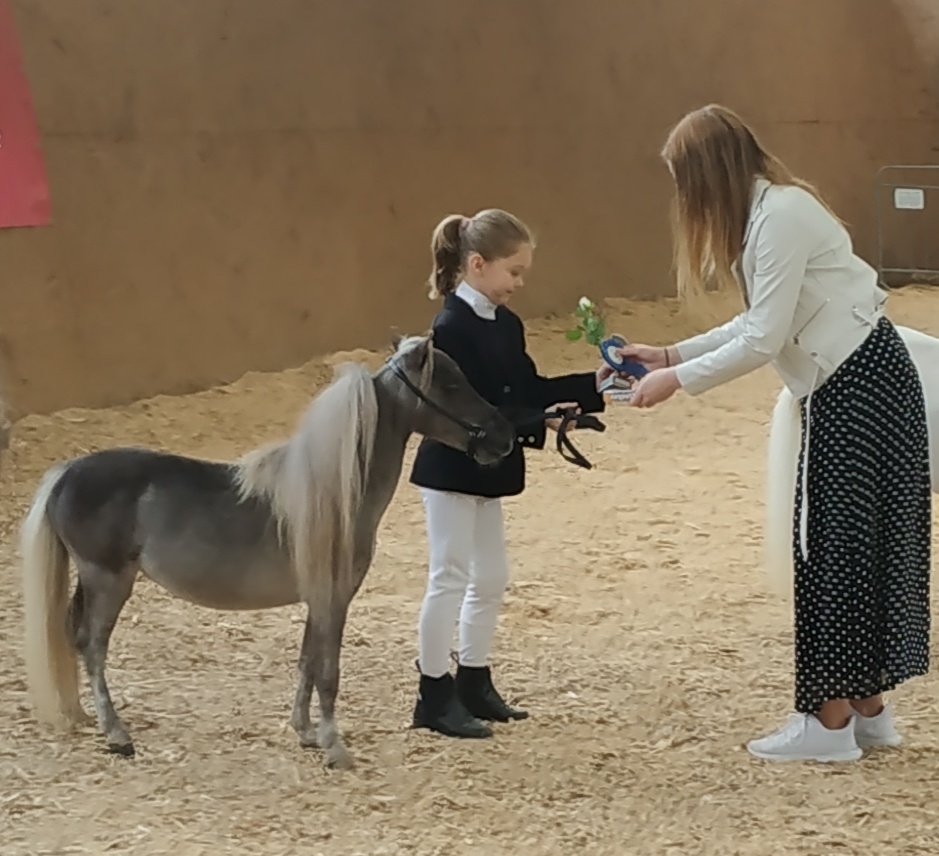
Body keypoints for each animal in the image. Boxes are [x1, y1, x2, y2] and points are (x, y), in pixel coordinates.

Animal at [19, 333, 516, 769]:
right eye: (451, 384)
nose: (503, 435)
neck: (334, 494)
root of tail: (66, 472)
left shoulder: (319, 598)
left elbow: (307, 662)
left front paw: (306, 732)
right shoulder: (333, 599)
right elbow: (328, 672)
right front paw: (335, 747)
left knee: (71, 634)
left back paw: (81, 716)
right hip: (108, 580)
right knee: (92, 644)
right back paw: (116, 734)